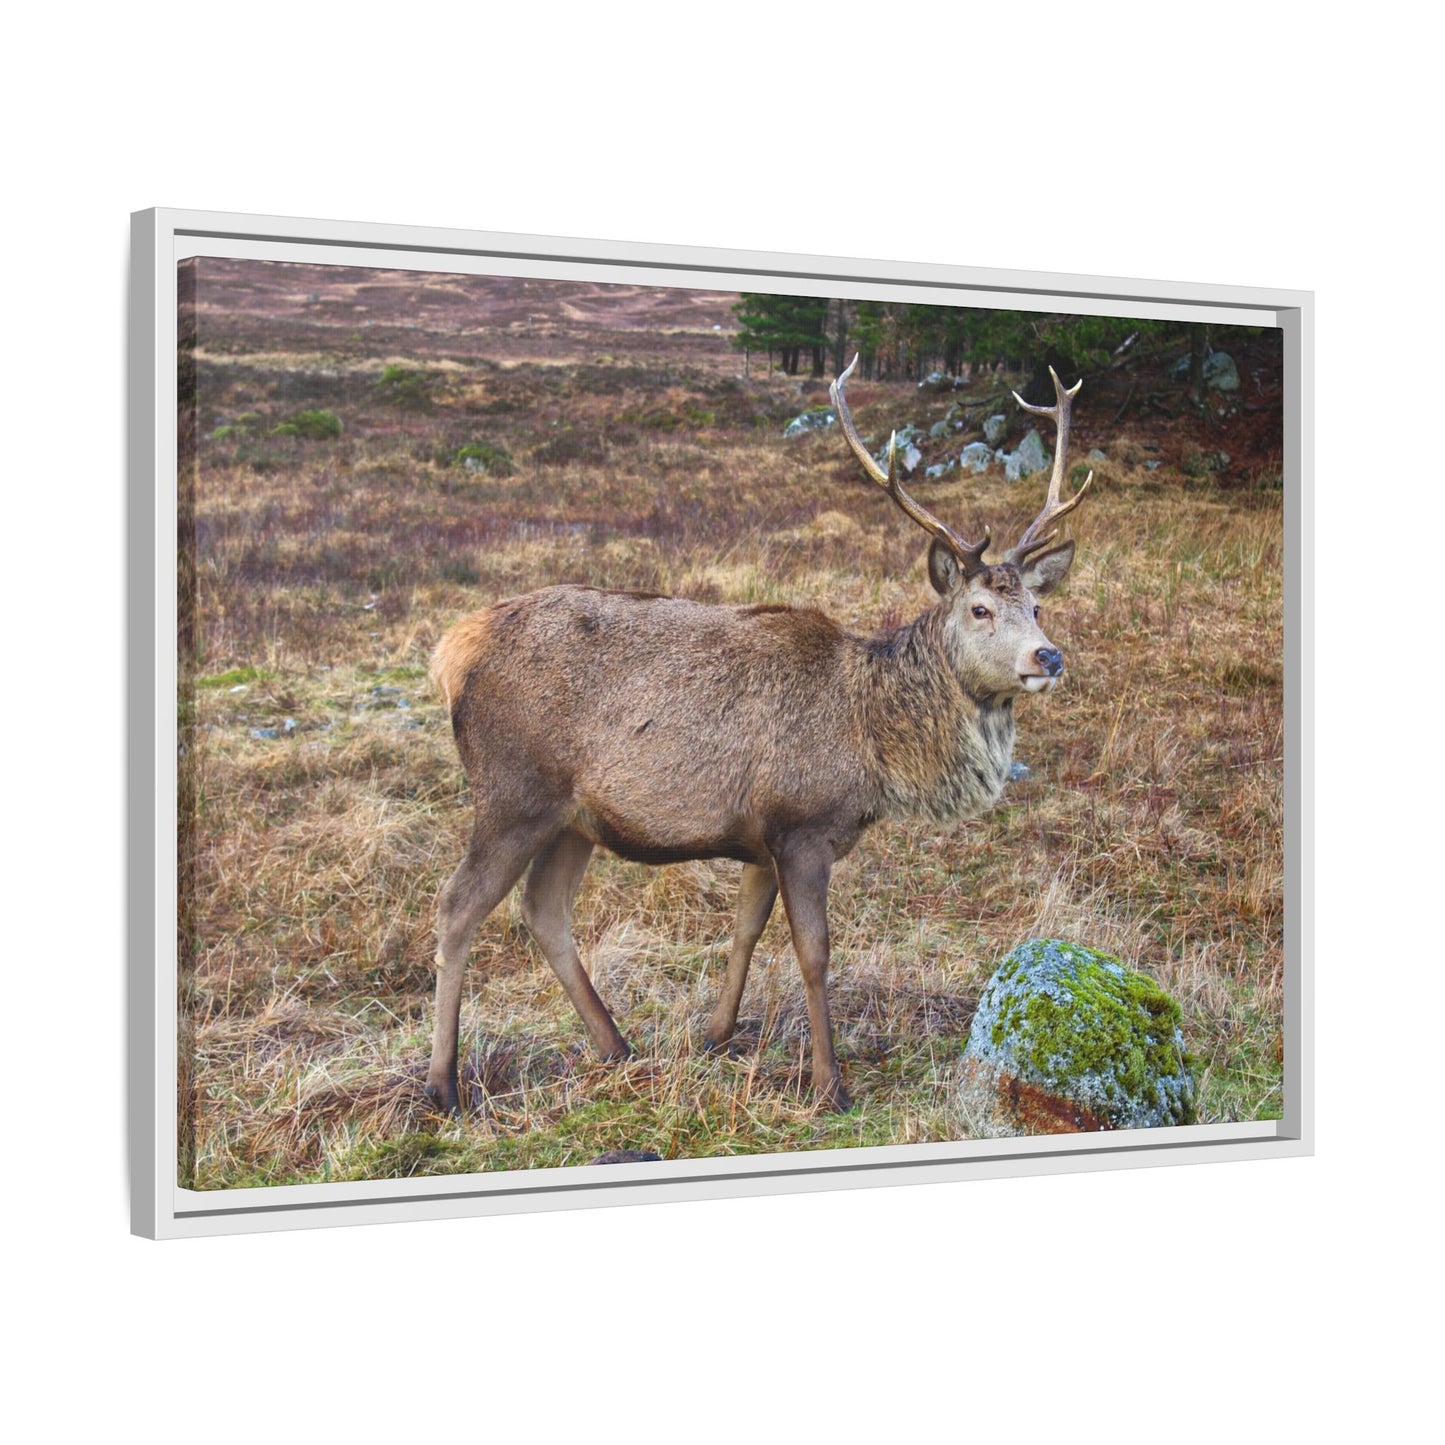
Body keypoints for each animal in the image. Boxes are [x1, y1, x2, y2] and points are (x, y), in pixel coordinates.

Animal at [424, 357, 1091, 1115]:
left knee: (544, 909)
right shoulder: (801, 826)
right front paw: (829, 1083)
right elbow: (814, 952)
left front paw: (717, 1034)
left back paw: (616, 1045)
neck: (872, 745)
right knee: (456, 906)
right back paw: (443, 1083)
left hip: (573, 817)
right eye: (980, 608)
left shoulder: (758, 837)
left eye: (1036, 605)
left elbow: (744, 929)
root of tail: (453, 650)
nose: (1048, 657)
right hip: (513, 792)